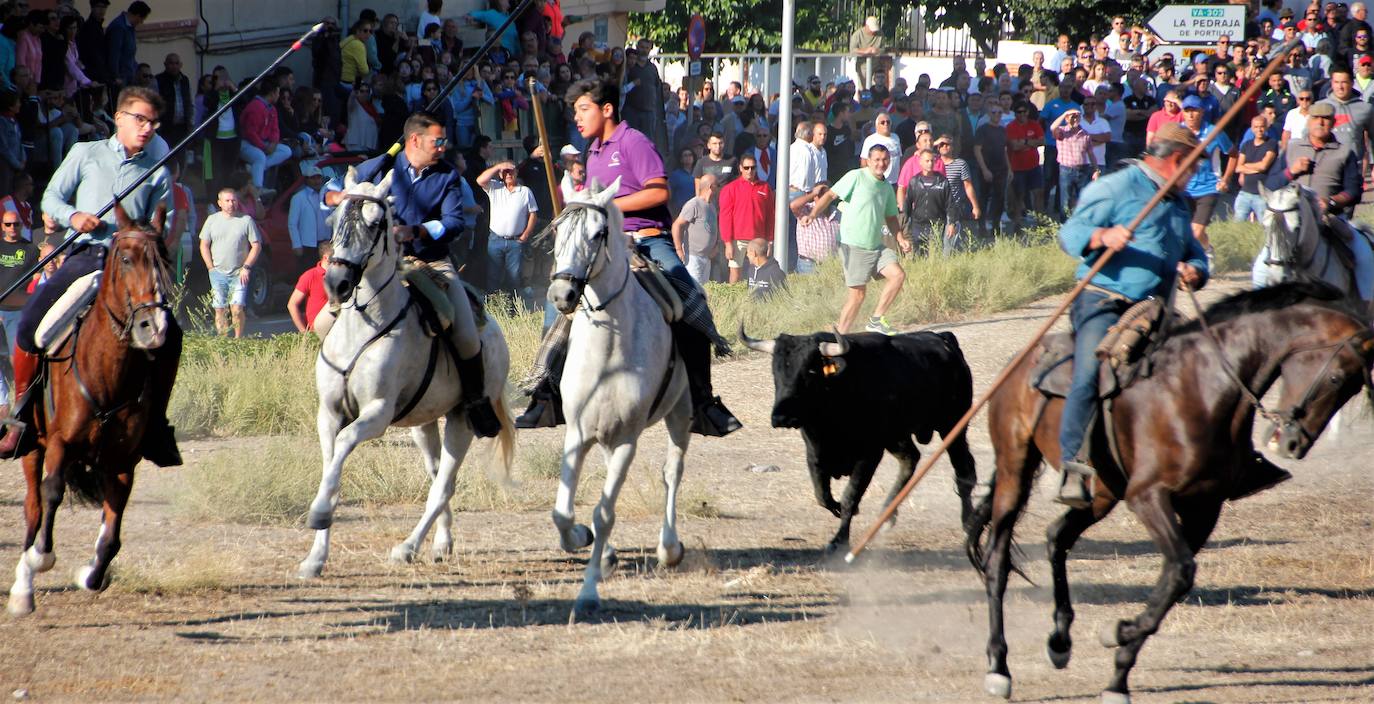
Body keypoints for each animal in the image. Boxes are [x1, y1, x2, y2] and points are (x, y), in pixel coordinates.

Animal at [6, 202, 181, 616]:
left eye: (164, 260)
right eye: (127, 259)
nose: (154, 328)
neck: (107, 371)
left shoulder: (122, 462)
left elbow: (112, 535)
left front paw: (90, 574)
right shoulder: (59, 444)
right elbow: (52, 493)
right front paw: (40, 559)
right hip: (32, 446)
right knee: (34, 507)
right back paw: (22, 588)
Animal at [299, 169, 516, 577]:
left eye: (375, 223)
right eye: (334, 221)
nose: (336, 284)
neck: (363, 325)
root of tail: (493, 331)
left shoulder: (377, 413)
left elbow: (345, 446)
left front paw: (318, 512)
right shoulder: (328, 413)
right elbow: (330, 469)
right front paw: (315, 557)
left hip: (462, 419)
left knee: (444, 484)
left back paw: (408, 547)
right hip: (424, 424)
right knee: (437, 476)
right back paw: (441, 543)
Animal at [544, 177, 692, 616]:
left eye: (597, 233)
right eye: (557, 231)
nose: (562, 295)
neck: (609, 353)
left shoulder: (628, 439)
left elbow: (605, 512)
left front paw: (589, 590)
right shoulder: (577, 434)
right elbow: (563, 511)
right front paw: (581, 538)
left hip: (682, 412)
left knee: (672, 472)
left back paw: (669, 549)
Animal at [741, 325, 978, 555]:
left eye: (810, 370)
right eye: (776, 370)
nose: (781, 418)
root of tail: (943, 339)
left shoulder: (869, 455)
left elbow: (850, 496)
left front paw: (839, 539)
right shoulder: (815, 455)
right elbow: (822, 496)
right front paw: (837, 510)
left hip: (953, 425)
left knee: (964, 471)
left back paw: (968, 522)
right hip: (896, 436)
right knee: (910, 459)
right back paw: (886, 516)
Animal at [967, 280, 1374, 704]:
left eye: (1354, 387)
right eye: (1335, 378)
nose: (1295, 444)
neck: (1202, 388)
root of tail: (1020, 362)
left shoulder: (1204, 507)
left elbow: (1175, 578)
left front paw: (1119, 669)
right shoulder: (1148, 497)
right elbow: (1179, 571)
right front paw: (1118, 638)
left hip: (1103, 492)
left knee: (1057, 536)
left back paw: (1060, 640)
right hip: (1015, 467)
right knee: (997, 561)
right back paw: (998, 667)